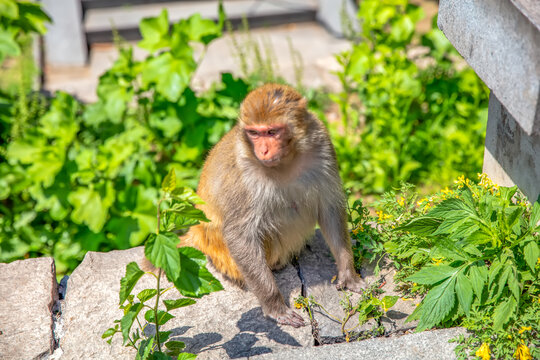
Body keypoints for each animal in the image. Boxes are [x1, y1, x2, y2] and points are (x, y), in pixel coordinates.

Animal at [184, 83, 364, 326]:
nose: (263, 151)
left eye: (271, 132)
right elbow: (239, 236)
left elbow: (329, 209)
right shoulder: (244, 174)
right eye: (254, 133)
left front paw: (348, 273)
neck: (286, 161)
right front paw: (275, 306)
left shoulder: (322, 143)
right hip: (225, 256)